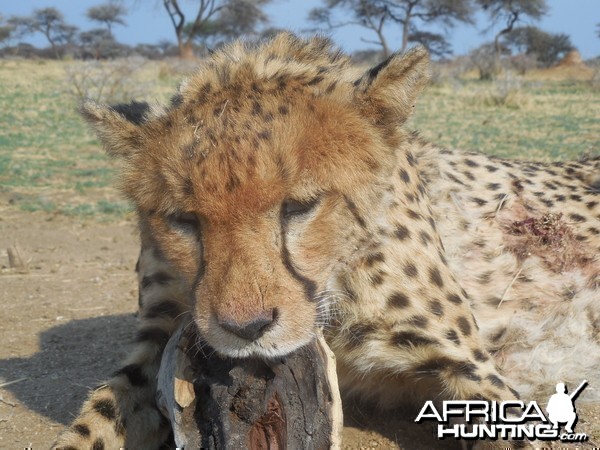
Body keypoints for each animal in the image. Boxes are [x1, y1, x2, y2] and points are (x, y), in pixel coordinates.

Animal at [54, 35, 596, 450]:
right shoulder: (160, 340)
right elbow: (94, 419)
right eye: (183, 219)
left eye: (300, 205)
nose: (245, 328)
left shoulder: (473, 368)